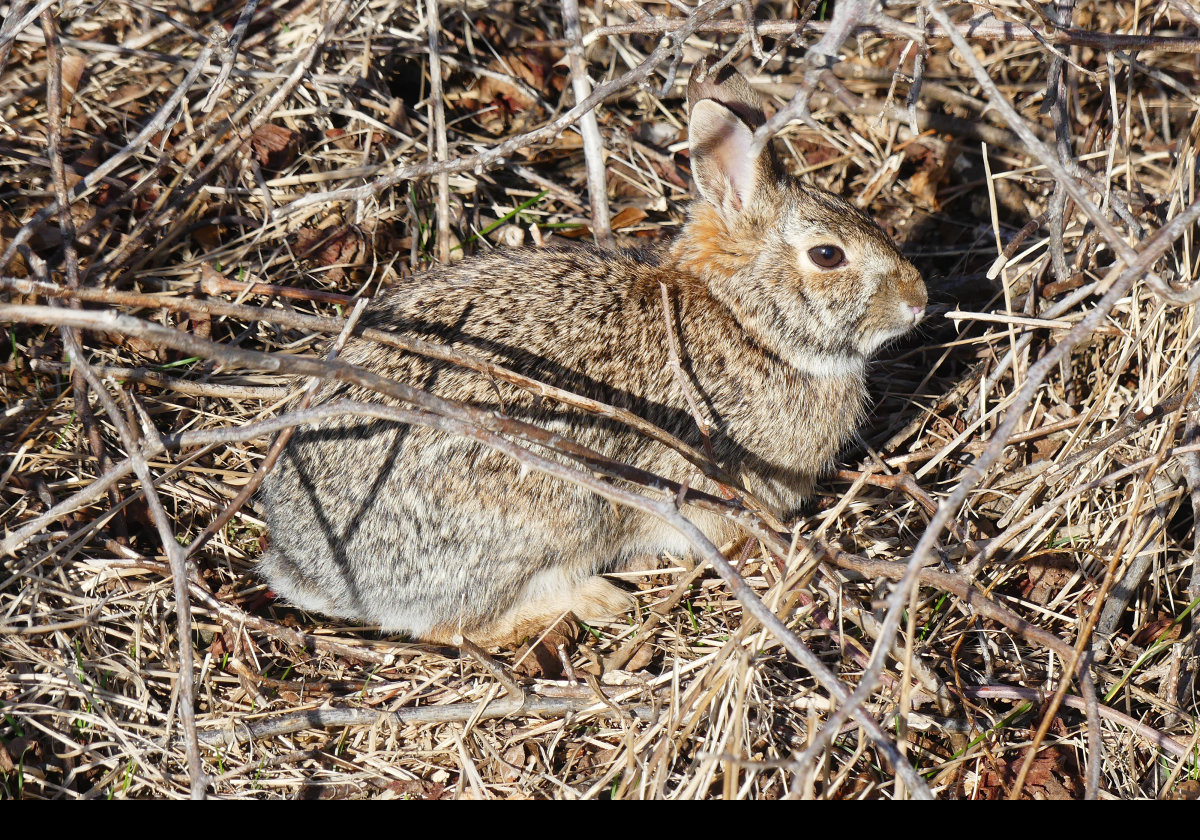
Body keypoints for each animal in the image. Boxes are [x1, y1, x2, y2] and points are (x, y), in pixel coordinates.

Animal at [255, 62, 926, 648]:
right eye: (828, 256)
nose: (918, 301)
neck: (745, 321)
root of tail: (308, 566)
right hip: (535, 520)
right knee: (454, 628)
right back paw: (594, 601)